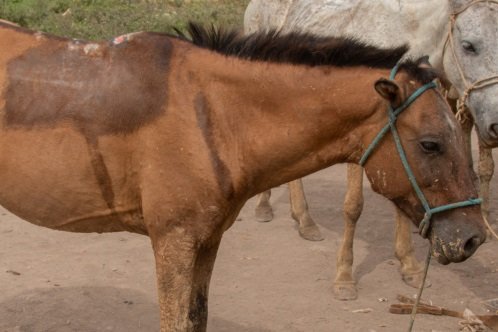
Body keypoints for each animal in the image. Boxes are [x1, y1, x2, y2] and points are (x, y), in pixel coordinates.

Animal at [0, 22, 486, 330]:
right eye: (431, 144)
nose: (473, 238)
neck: (212, 114)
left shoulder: (207, 239)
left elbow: (196, 319)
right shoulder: (173, 241)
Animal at [243, 0, 498, 300]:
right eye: (469, 46)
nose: (496, 123)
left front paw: (409, 267)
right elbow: (353, 207)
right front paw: (344, 277)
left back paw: (305, 222)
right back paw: (265, 207)